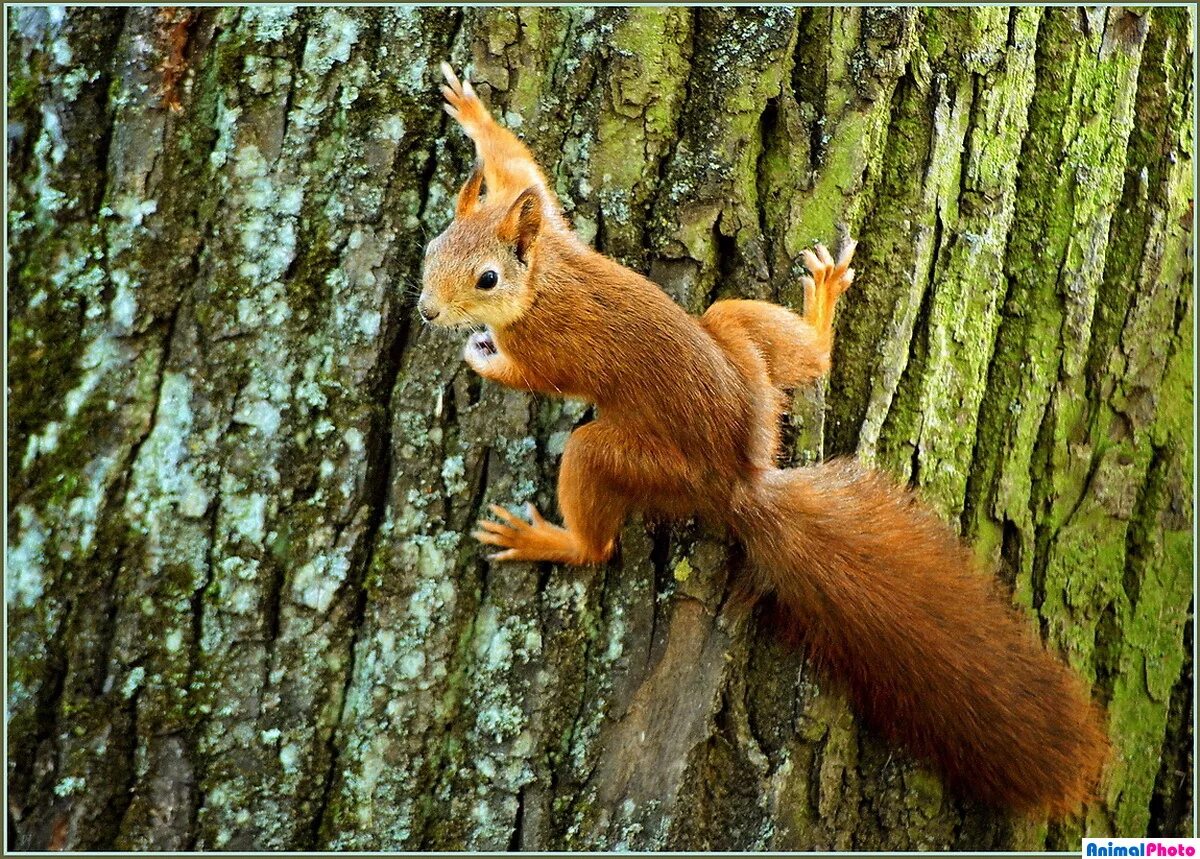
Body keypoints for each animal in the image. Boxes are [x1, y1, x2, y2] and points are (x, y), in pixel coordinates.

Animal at [420, 63, 1104, 815]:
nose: (426, 311)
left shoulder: (548, 345)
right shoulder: (548, 219)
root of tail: (738, 481)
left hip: (627, 457)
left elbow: (531, 371)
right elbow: (522, 169)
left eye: (486, 278)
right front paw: (473, 112)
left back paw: (549, 538)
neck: (542, 277)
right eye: (431, 249)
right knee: (796, 354)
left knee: (596, 533)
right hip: (739, 344)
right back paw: (825, 302)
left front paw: (482, 356)